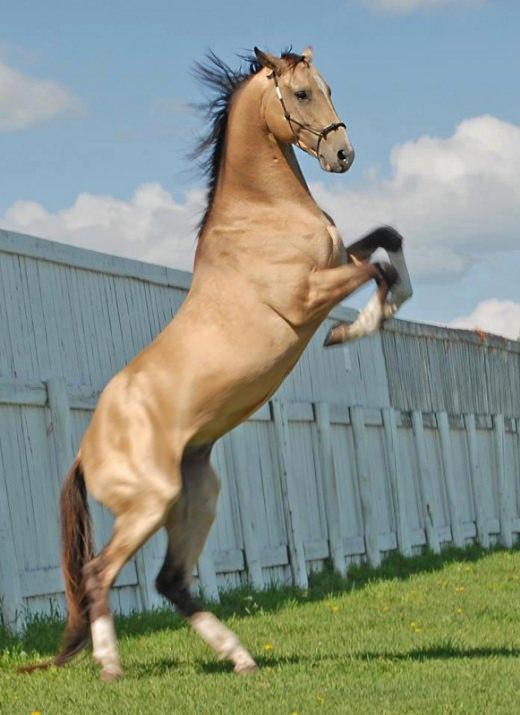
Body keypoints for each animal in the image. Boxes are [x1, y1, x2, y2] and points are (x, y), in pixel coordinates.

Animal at [24, 46, 412, 684]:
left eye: (327, 87)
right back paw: (112, 668)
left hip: (197, 495)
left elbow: (389, 239)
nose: (342, 155)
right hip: (148, 505)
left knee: (170, 582)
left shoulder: (337, 260)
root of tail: (85, 452)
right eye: (301, 94)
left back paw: (241, 658)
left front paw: (373, 316)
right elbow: (378, 270)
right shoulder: (310, 293)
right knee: (99, 573)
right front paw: (351, 331)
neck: (262, 214)